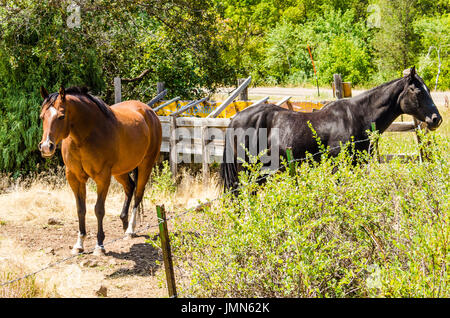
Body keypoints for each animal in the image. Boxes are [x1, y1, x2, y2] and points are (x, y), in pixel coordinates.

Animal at [38, 86, 162, 256]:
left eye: (61, 116)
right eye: (42, 117)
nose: (46, 147)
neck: (84, 136)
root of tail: (149, 111)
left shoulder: (102, 177)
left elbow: (99, 209)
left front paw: (99, 245)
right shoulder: (75, 178)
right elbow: (80, 209)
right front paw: (79, 244)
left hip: (145, 165)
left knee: (138, 194)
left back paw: (130, 229)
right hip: (120, 171)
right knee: (130, 187)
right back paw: (124, 223)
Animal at [221, 67, 442, 190]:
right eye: (417, 91)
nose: (436, 119)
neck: (357, 116)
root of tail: (235, 119)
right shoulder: (338, 166)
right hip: (247, 172)